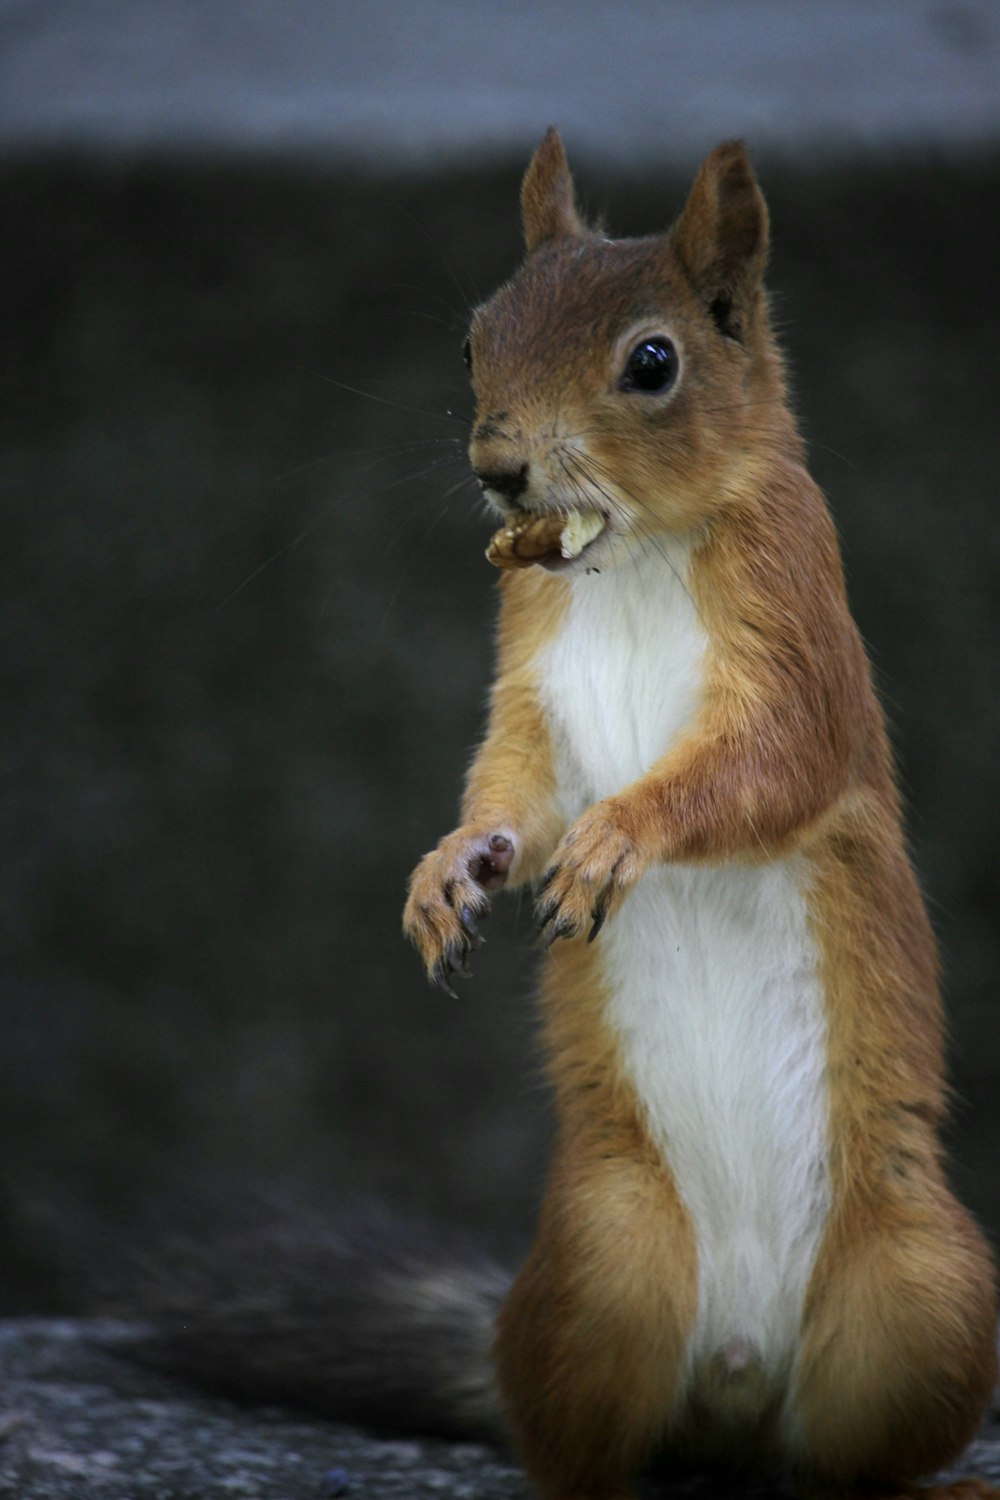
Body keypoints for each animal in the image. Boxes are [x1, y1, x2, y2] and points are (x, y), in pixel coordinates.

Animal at [401, 132, 995, 1500]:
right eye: (473, 338)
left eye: (653, 363)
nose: (496, 469)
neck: (623, 561)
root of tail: (739, 1377)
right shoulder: (530, 680)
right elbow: (514, 791)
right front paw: (451, 868)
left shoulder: (797, 629)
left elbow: (764, 767)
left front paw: (622, 836)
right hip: (603, 1258)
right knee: (581, 1437)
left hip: (921, 1283)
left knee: (853, 1459)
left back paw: (939, 1480)